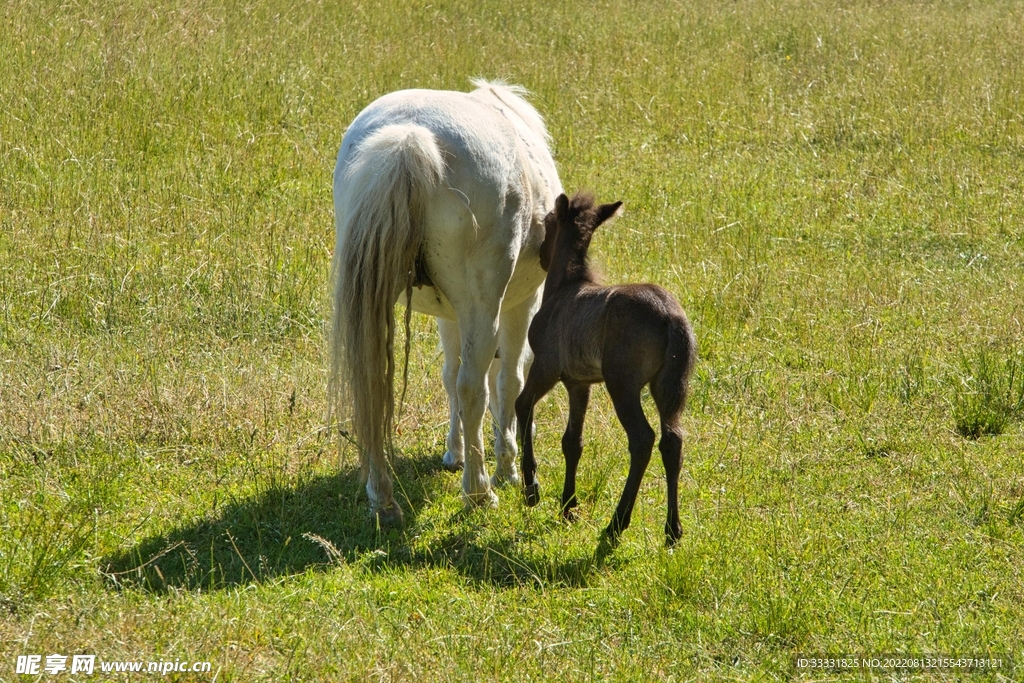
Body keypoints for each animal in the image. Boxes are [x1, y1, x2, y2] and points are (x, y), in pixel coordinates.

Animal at [330, 80, 563, 525]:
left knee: (373, 381)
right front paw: (507, 466)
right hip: (483, 306)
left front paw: (455, 453)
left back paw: (383, 499)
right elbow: (508, 381)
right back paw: (479, 492)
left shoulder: (449, 314)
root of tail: (410, 139)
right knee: (474, 388)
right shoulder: (519, 306)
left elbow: (448, 375)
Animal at [514, 192, 697, 544]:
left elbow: (523, 405)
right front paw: (568, 505)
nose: (541, 254)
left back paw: (617, 523)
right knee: (673, 440)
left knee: (642, 439)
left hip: (622, 382)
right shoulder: (579, 381)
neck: (563, 287)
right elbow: (572, 441)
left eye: (549, 222)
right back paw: (672, 529)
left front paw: (532, 488)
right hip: (670, 384)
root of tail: (672, 319)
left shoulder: (546, 365)